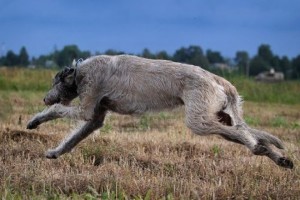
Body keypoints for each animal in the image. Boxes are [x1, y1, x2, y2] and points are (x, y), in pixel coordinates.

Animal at [27, 54, 294, 168]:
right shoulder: (96, 116)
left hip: (200, 120)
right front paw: (55, 152)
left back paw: (260, 149)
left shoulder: (87, 103)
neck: (80, 71)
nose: (44, 97)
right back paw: (278, 158)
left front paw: (35, 121)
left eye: (54, 82)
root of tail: (217, 79)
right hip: (220, 116)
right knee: (247, 132)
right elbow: (75, 137)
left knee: (242, 133)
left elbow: (59, 110)